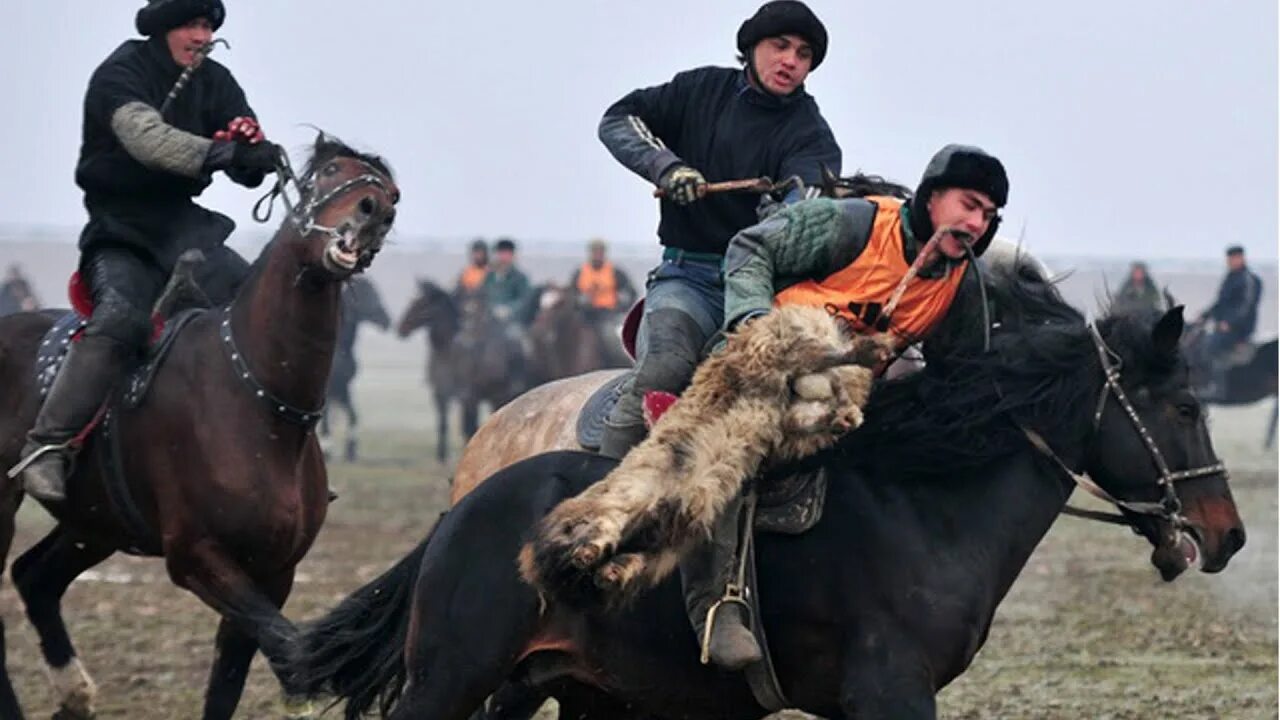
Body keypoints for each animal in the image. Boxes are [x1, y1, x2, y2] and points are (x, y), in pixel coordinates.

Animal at [317, 274, 386, 458]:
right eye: (366, 292)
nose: (386, 320)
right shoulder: (329, 390)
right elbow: (326, 418)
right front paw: (327, 448)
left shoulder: (344, 388)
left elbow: (354, 415)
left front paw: (351, 450)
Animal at [394, 278, 524, 461]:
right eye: (412, 300)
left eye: (422, 303)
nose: (401, 328)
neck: (449, 350)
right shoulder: (441, 395)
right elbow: (443, 424)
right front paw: (441, 456)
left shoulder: (468, 396)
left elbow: (469, 428)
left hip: (501, 394)